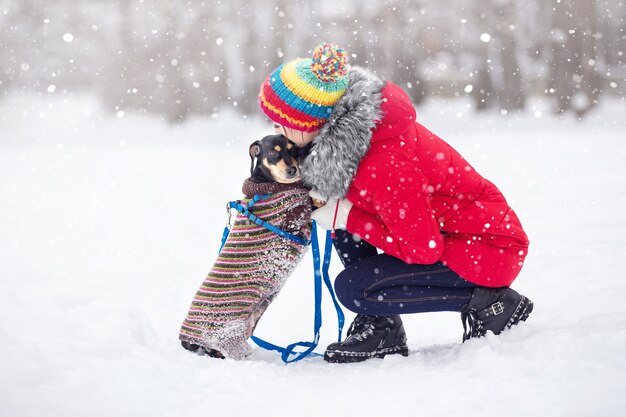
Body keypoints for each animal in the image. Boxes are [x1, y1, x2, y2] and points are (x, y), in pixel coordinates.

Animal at [178, 133, 310, 358]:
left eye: (293, 149)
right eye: (272, 152)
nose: (292, 169)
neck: (267, 185)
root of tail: (186, 341)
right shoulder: (295, 222)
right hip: (230, 339)